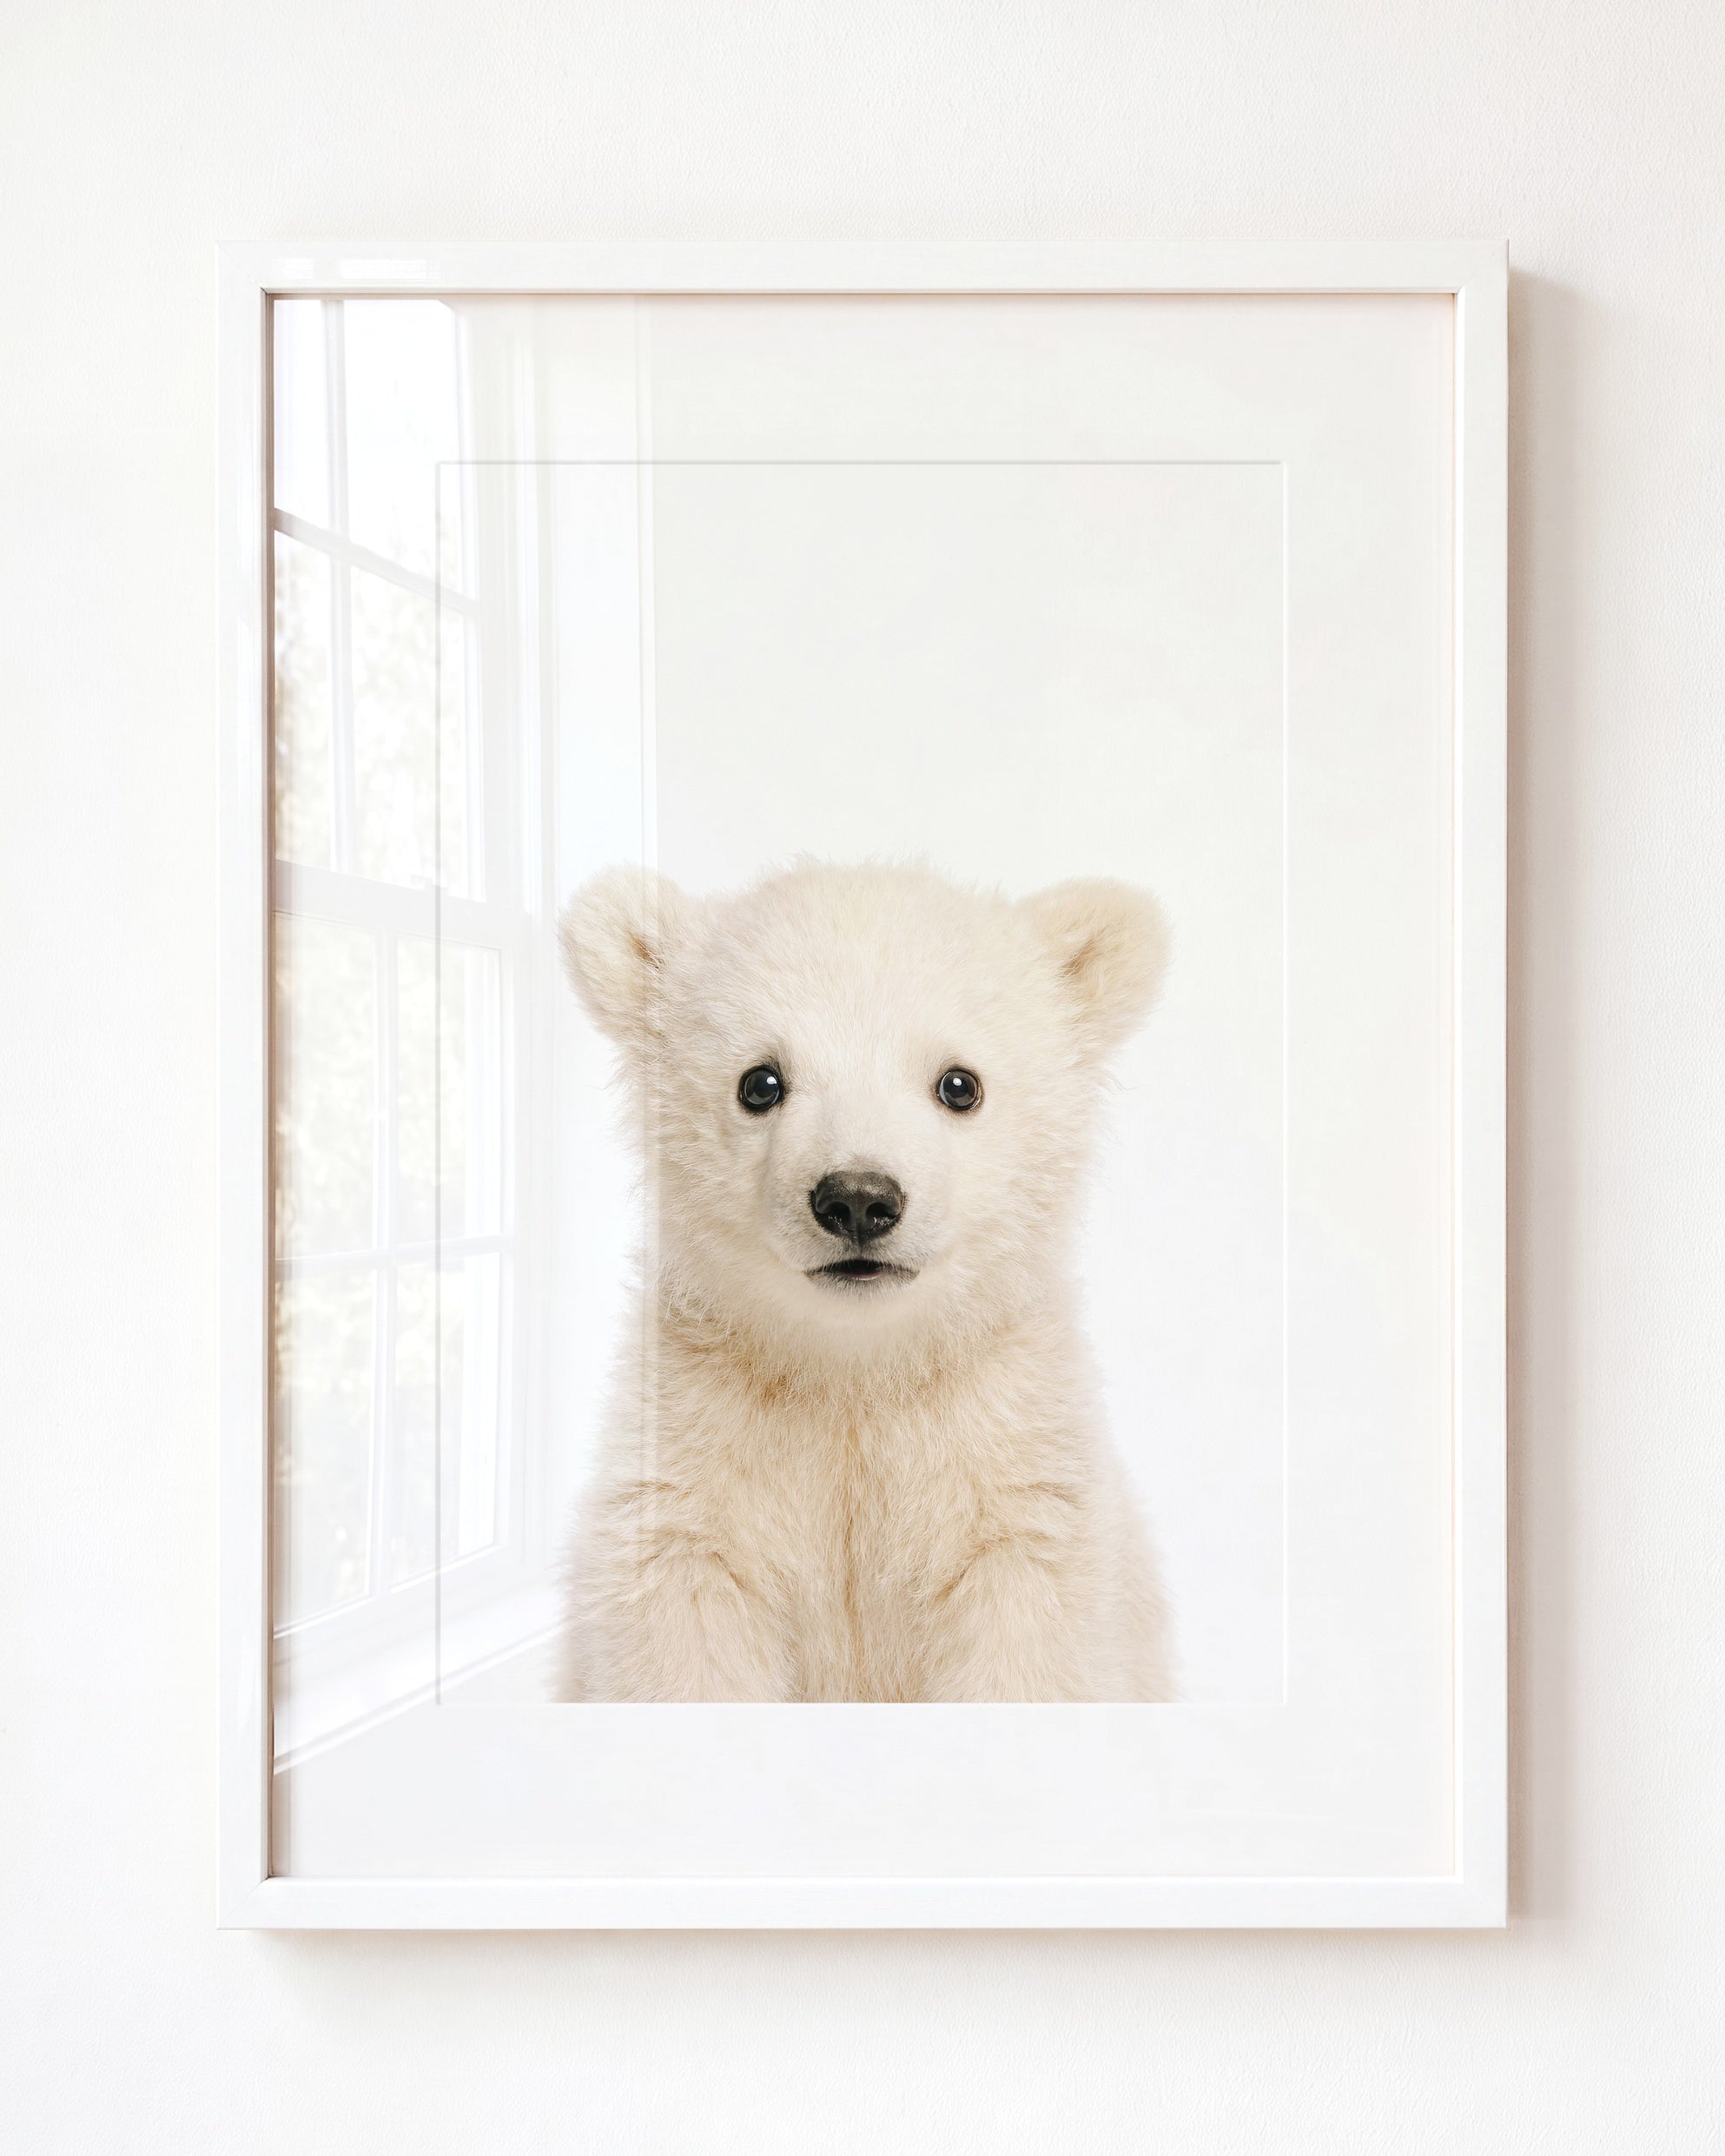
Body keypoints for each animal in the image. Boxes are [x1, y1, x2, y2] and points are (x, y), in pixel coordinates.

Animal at [553, 858, 1175, 1703]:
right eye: (760, 1082)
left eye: (959, 1084)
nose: (857, 1199)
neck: (857, 1370)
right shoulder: (694, 1462)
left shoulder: (1012, 1474)